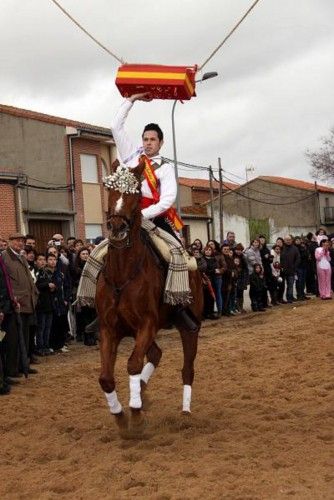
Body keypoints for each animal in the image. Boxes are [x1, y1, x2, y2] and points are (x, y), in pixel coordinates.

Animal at [95, 160, 202, 430]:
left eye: (134, 193)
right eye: (110, 190)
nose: (117, 228)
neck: (123, 274)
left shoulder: (147, 323)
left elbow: (133, 364)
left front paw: (135, 414)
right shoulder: (110, 328)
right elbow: (106, 378)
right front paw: (121, 417)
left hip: (189, 327)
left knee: (187, 369)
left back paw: (185, 411)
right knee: (155, 354)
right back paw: (143, 393)